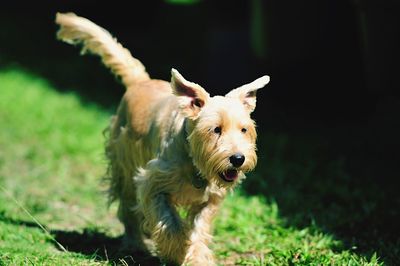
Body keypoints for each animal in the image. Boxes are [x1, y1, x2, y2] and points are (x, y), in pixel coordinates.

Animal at [55, 13, 268, 266]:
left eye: (244, 130)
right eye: (215, 129)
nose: (237, 159)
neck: (192, 157)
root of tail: (140, 81)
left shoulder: (209, 200)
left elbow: (199, 229)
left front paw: (196, 257)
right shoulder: (152, 184)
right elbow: (171, 223)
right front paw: (176, 252)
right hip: (124, 164)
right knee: (128, 208)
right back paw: (134, 243)